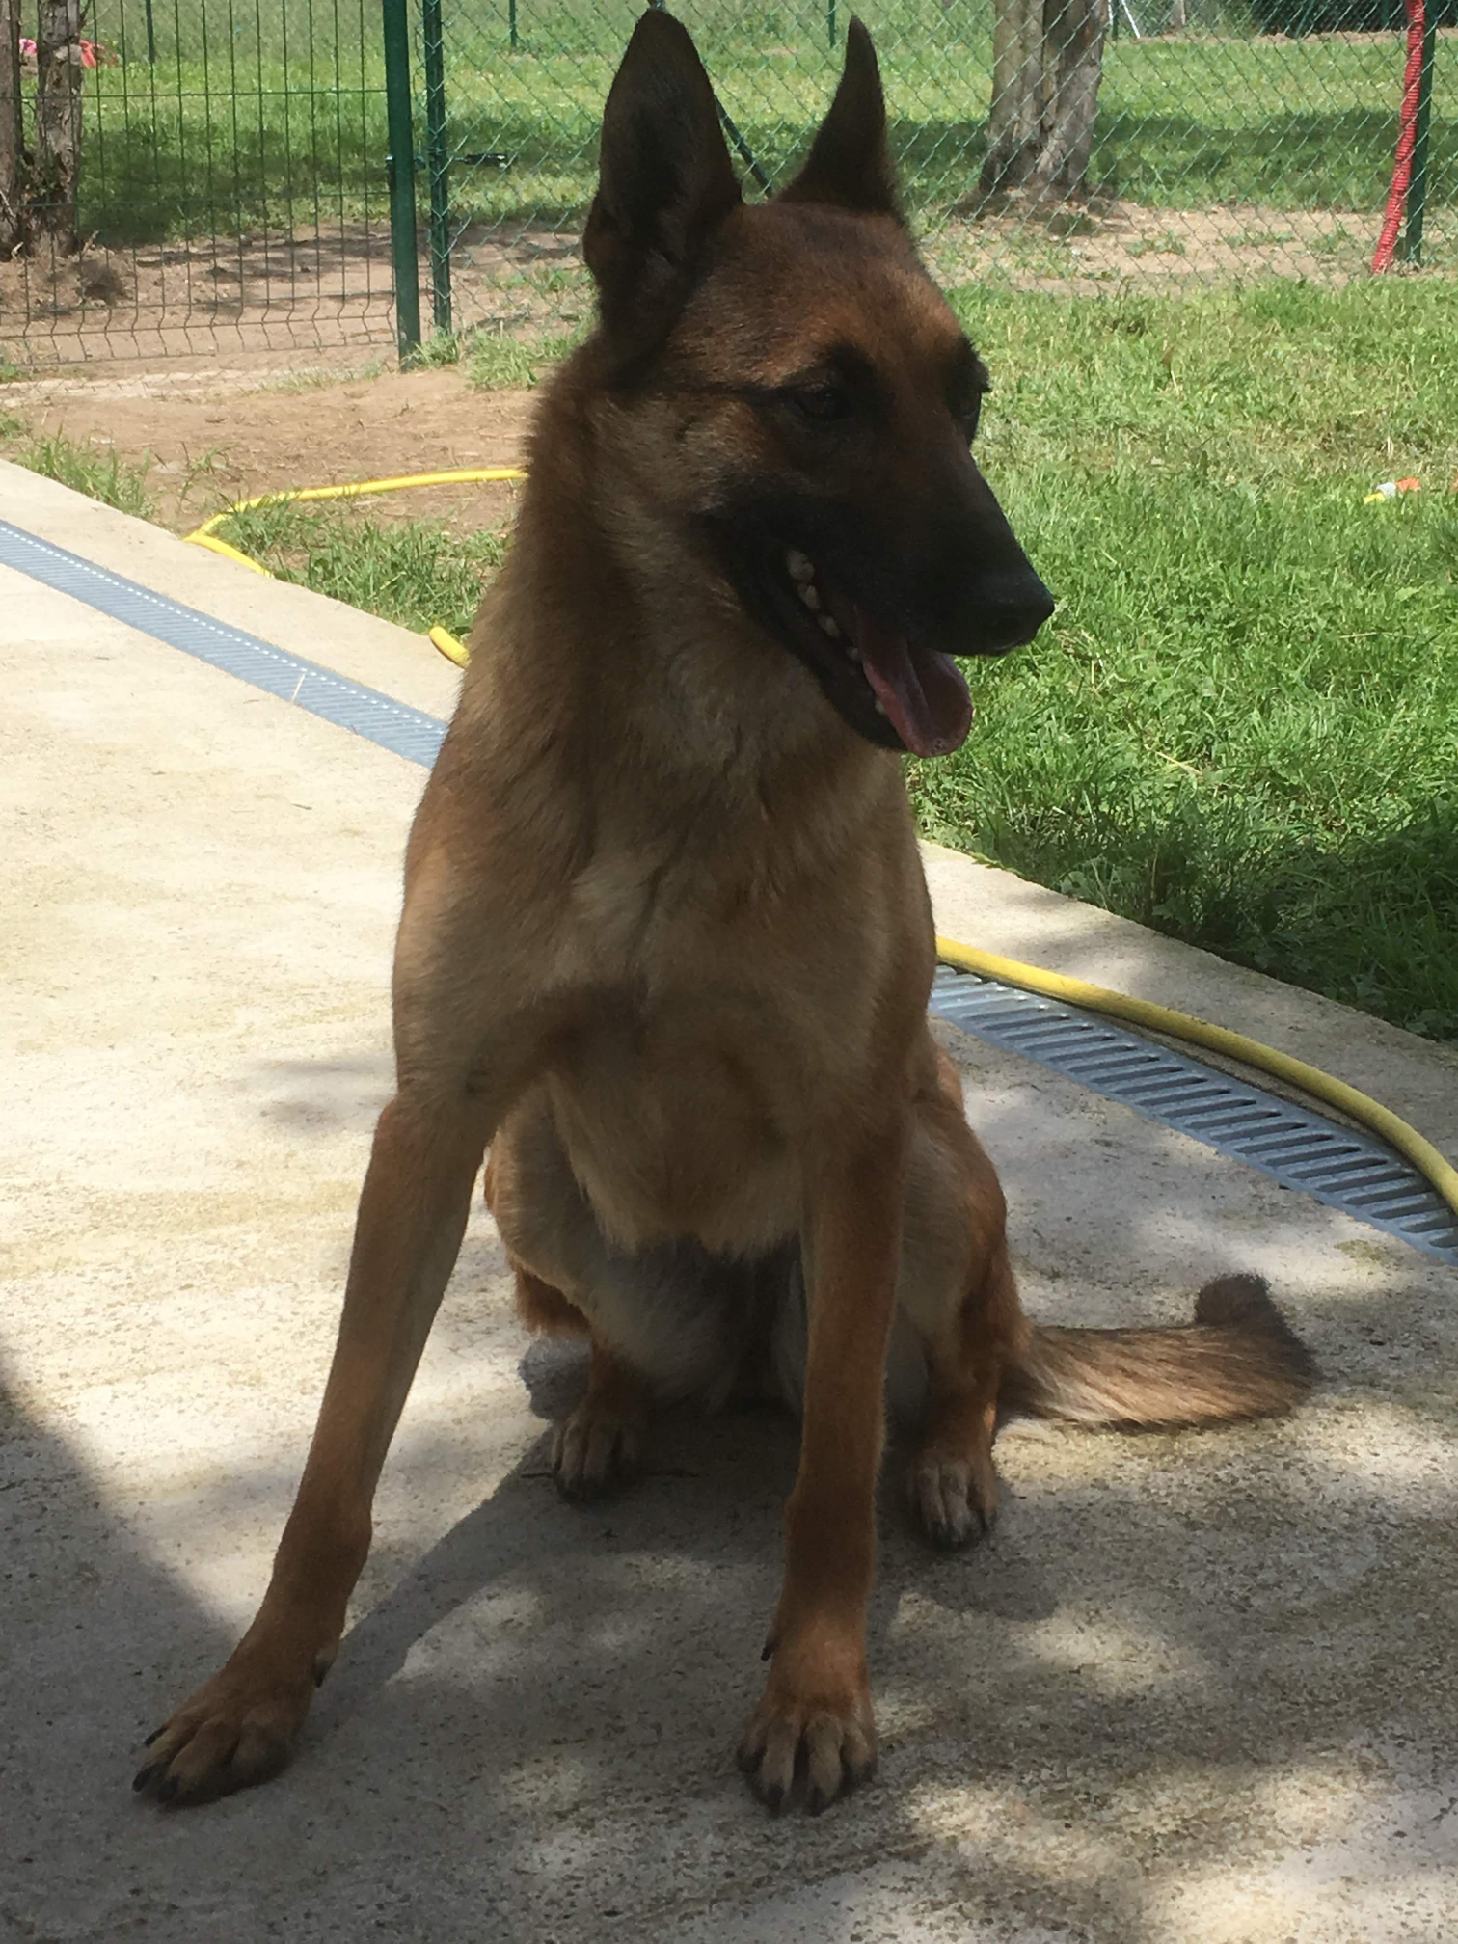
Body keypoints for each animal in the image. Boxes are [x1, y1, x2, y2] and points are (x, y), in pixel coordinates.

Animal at [134, 11, 1312, 1814]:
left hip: (924, 1178)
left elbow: (827, 1484)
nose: (1026, 604)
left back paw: (950, 1462)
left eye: (968, 399)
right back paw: (609, 1416)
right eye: (820, 403)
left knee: (959, 1371)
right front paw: (256, 1684)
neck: (682, 769)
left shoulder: (850, 1130)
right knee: (636, 1354)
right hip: (528, 1174)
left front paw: (816, 1690)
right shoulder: (432, 1120)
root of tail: (748, 1344)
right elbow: (334, 1466)